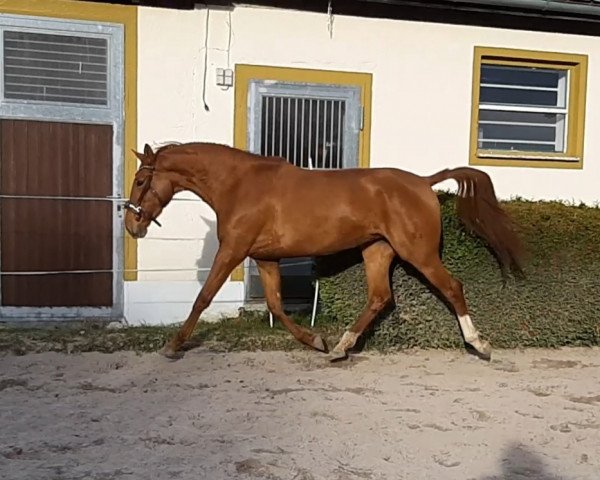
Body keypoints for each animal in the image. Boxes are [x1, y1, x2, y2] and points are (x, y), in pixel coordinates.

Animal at [124, 142, 524, 360]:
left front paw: (173, 344)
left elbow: (203, 298)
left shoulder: (233, 250)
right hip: (376, 251)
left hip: (418, 253)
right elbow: (275, 305)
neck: (240, 185)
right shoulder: (266, 257)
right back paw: (339, 348)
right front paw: (316, 340)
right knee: (380, 297)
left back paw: (480, 343)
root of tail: (424, 183)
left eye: (141, 180)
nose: (132, 225)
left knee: (452, 287)